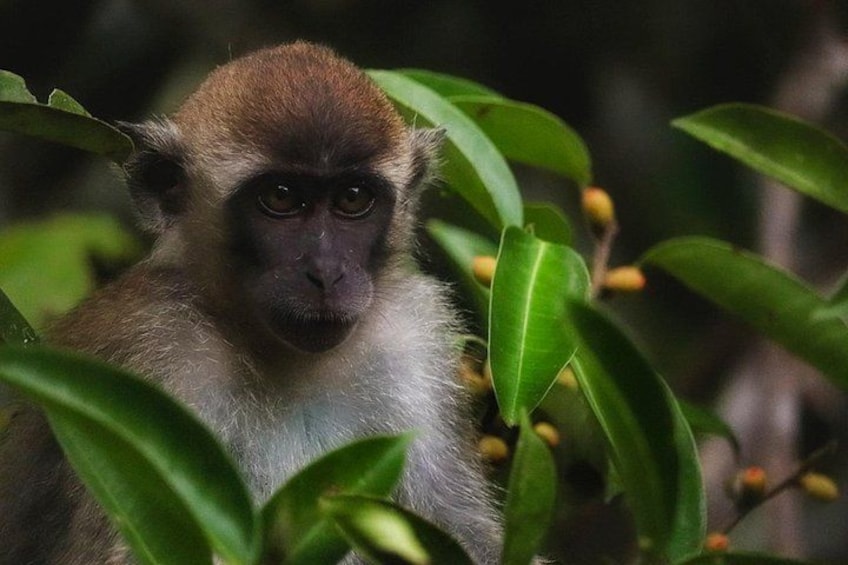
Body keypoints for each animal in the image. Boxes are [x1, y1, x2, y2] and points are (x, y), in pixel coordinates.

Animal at [0, 42, 505, 564]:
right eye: (280, 197)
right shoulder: (154, 358)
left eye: (352, 198)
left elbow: (467, 532)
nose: (326, 272)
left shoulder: (411, 335)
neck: (285, 357)